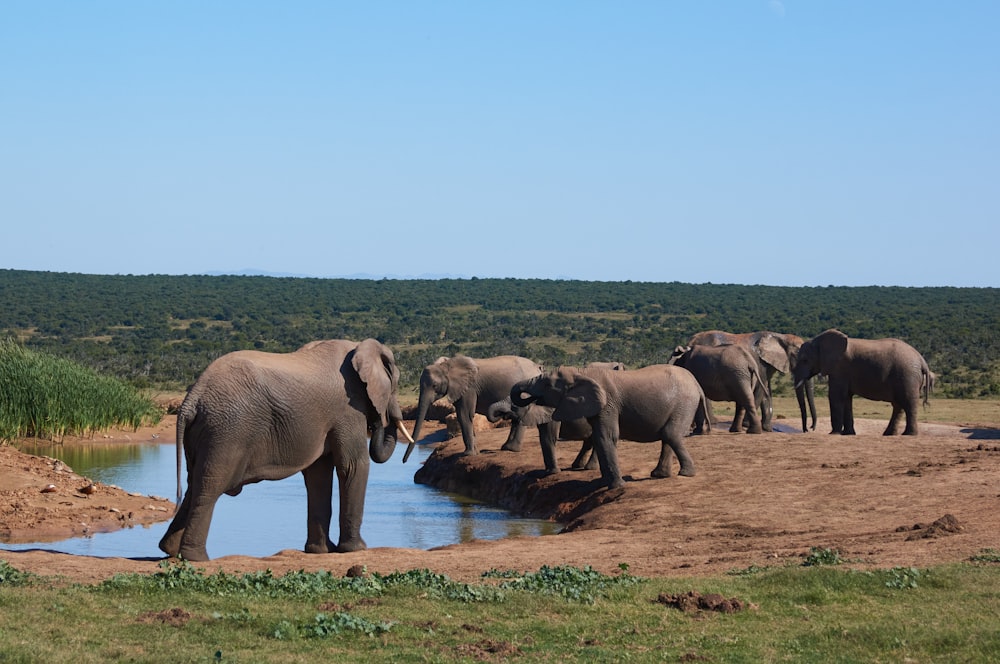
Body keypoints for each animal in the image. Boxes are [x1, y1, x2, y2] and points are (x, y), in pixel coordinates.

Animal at [156, 340, 410, 564]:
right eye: (394, 385)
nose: (380, 419)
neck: (359, 347)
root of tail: (192, 398)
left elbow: (318, 475)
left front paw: (320, 551)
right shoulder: (349, 407)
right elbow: (353, 466)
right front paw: (356, 549)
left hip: (205, 432)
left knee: (194, 483)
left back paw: (169, 550)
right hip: (226, 430)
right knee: (210, 486)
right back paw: (196, 558)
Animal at [408, 356, 544, 460]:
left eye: (435, 386)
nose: (404, 461)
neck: (447, 366)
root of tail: (537, 367)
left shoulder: (469, 389)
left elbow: (464, 415)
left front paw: (467, 454)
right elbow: (463, 415)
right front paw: (474, 452)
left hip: (525, 391)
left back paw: (511, 449)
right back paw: (507, 448)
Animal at [512, 364, 708, 488]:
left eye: (547, 384)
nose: (529, 398)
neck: (582, 372)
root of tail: (697, 384)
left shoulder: (608, 404)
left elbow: (605, 437)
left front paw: (616, 487)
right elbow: (599, 437)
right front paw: (601, 484)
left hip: (685, 403)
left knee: (670, 434)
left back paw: (686, 474)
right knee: (667, 436)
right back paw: (660, 475)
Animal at [688, 330, 820, 434]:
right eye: (801, 357)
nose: (809, 429)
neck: (780, 337)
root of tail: (691, 341)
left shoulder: (767, 364)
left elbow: (767, 391)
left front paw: (767, 429)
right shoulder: (759, 363)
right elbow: (760, 390)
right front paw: (747, 425)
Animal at [792, 328, 932, 436]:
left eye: (805, 360)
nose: (808, 429)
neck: (818, 340)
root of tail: (922, 360)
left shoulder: (840, 368)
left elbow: (835, 396)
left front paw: (833, 433)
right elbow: (846, 398)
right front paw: (848, 434)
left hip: (907, 375)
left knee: (908, 403)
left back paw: (908, 434)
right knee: (898, 405)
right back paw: (889, 434)